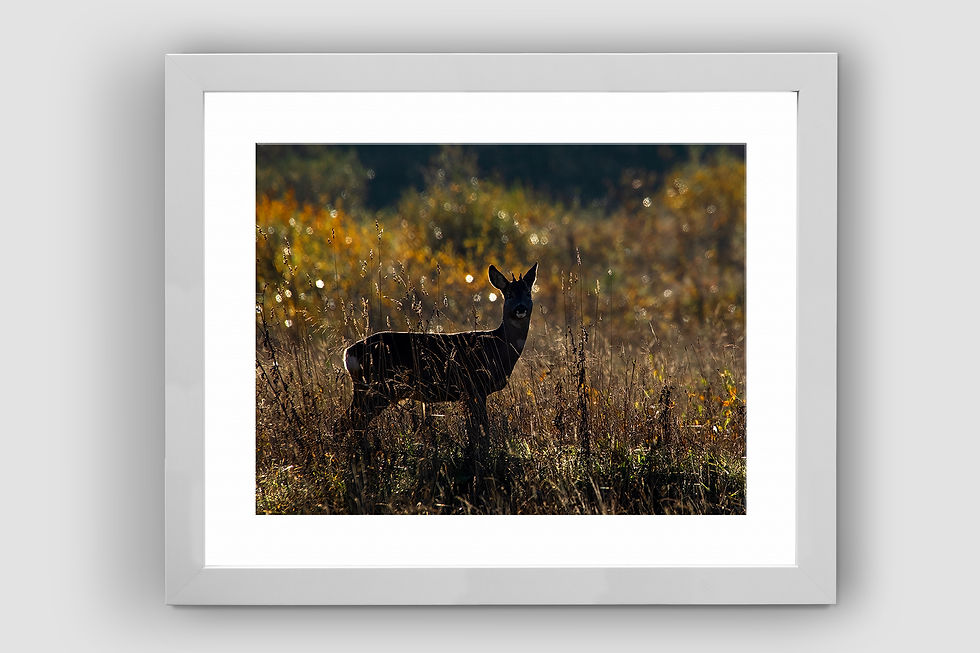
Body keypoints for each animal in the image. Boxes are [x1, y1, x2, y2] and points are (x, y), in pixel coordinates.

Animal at [340, 262, 538, 460]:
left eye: (528, 292)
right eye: (509, 294)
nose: (520, 308)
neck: (497, 346)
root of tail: (348, 353)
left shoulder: (469, 392)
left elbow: (474, 429)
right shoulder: (474, 385)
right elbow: (482, 427)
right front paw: (482, 454)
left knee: (350, 420)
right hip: (376, 387)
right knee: (351, 420)